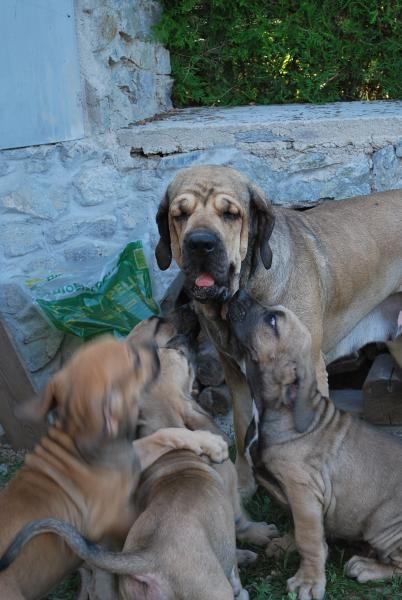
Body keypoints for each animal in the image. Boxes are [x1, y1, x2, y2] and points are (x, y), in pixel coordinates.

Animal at [0, 330, 226, 596]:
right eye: (134, 361)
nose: (155, 344)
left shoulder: (130, 456)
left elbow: (165, 433)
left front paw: (211, 442)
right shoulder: (114, 518)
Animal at [154, 163, 402, 492]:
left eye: (230, 214)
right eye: (180, 214)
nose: (200, 243)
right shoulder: (235, 373)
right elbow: (241, 424)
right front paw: (244, 485)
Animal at [226, 288, 402, 596]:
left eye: (272, 320)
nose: (240, 291)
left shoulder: (303, 491)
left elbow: (309, 539)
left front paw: (308, 582)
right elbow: (300, 528)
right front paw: (287, 543)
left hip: (384, 525)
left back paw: (368, 568)